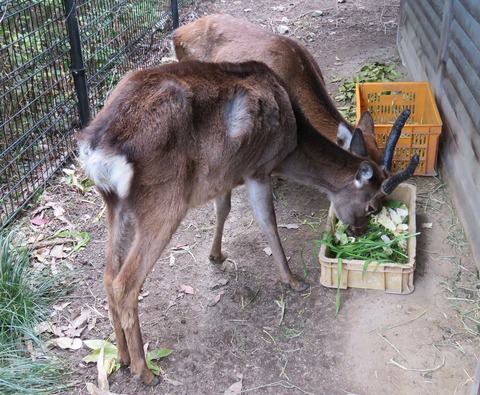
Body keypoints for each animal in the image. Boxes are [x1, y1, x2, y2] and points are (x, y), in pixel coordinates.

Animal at [77, 60, 414, 386]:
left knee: (108, 276)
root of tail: (98, 149)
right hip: (164, 200)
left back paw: (120, 356)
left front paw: (216, 255)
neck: (291, 142)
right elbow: (267, 221)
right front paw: (292, 280)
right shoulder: (258, 168)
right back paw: (144, 372)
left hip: (115, 204)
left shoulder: (226, 173)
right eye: (372, 206)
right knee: (124, 282)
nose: (360, 232)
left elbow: (223, 209)